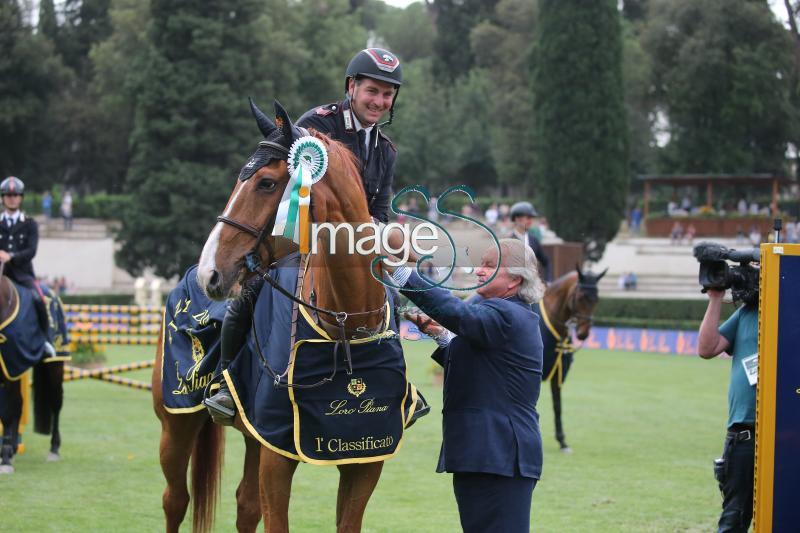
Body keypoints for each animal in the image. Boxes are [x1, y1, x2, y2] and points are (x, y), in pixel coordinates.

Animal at [0, 274, 67, 474]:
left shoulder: (11, 368)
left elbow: (7, 412)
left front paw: (5, 460)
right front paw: (7, 453)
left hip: (55, 365)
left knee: (56, 404)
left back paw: (54, 449)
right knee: (19, 404)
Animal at [536, 268, 608, 450]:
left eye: (597, 299)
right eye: (581, 297)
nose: (583, 334)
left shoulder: (558, 374)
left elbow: (557, 406)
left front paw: (562, 440)